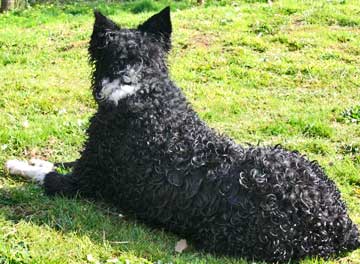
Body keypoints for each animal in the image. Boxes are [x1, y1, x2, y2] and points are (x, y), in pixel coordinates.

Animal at [5, 7, 360, 262]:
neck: (143, 87)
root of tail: (340, 225)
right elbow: (55, 161)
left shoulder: (82, 182)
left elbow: (47, 174)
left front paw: (18, 164)